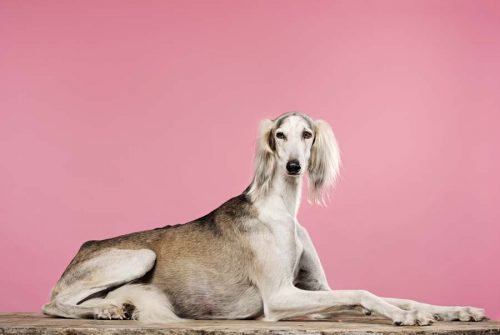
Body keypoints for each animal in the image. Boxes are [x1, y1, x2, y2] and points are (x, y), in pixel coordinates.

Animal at [44, 112, 488, 326]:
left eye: (306, 134)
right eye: (279, 135)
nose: (293, 166)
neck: (282, 210)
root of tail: (84, 246)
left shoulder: (318, 289)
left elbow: (389, 295)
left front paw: (455, 310)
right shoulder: (278, 297)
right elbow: (364, 293)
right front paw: (405, 317)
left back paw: (112, 308)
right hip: (140, 255)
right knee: (53, 304)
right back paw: (100, 312)